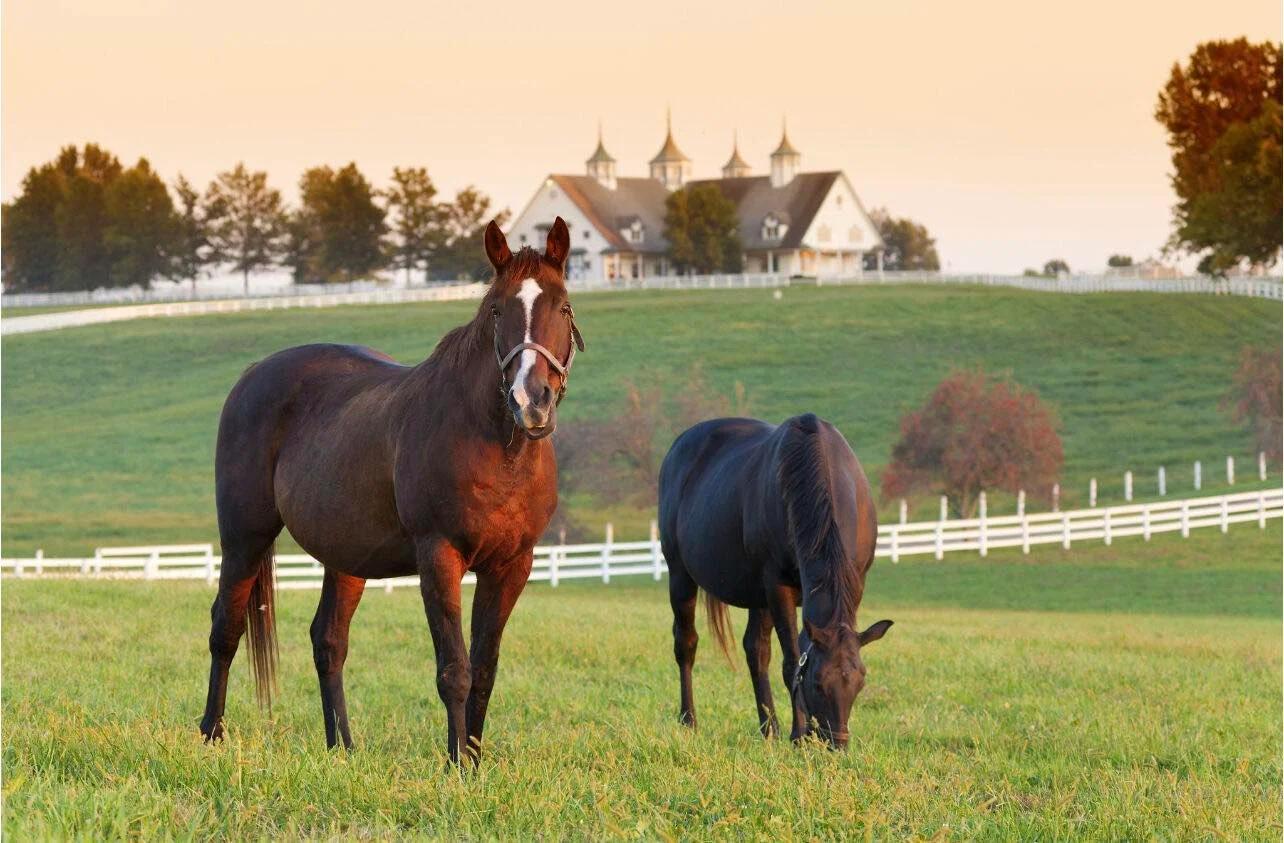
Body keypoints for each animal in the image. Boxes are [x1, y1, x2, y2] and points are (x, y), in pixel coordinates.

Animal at [199, 217, 585, 765]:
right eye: (496, 309)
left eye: (564, 307)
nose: (531, 401)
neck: (496, 448)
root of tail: (253, 374)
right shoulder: (439, 556)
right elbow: (454, 669)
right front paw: (456, 765)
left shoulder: (512, 565)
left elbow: (484, 670)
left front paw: (475, 760)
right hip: (244, 538)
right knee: (225, 629)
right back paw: (212, 732)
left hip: (344, 556)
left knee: (329, 641)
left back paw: (341, 747)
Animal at [657, 413, 893, 748]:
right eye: (818, 684)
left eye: (860, 682)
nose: (836, 744)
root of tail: (679, 445)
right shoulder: (778, 587)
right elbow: (792, 661)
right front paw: (799, 735)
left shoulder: (852, 584)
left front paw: (799, 732)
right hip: (681, 575)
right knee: (686, 643)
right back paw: (689, 720)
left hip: (758, 596)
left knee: (756, 651)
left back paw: (769, 729)